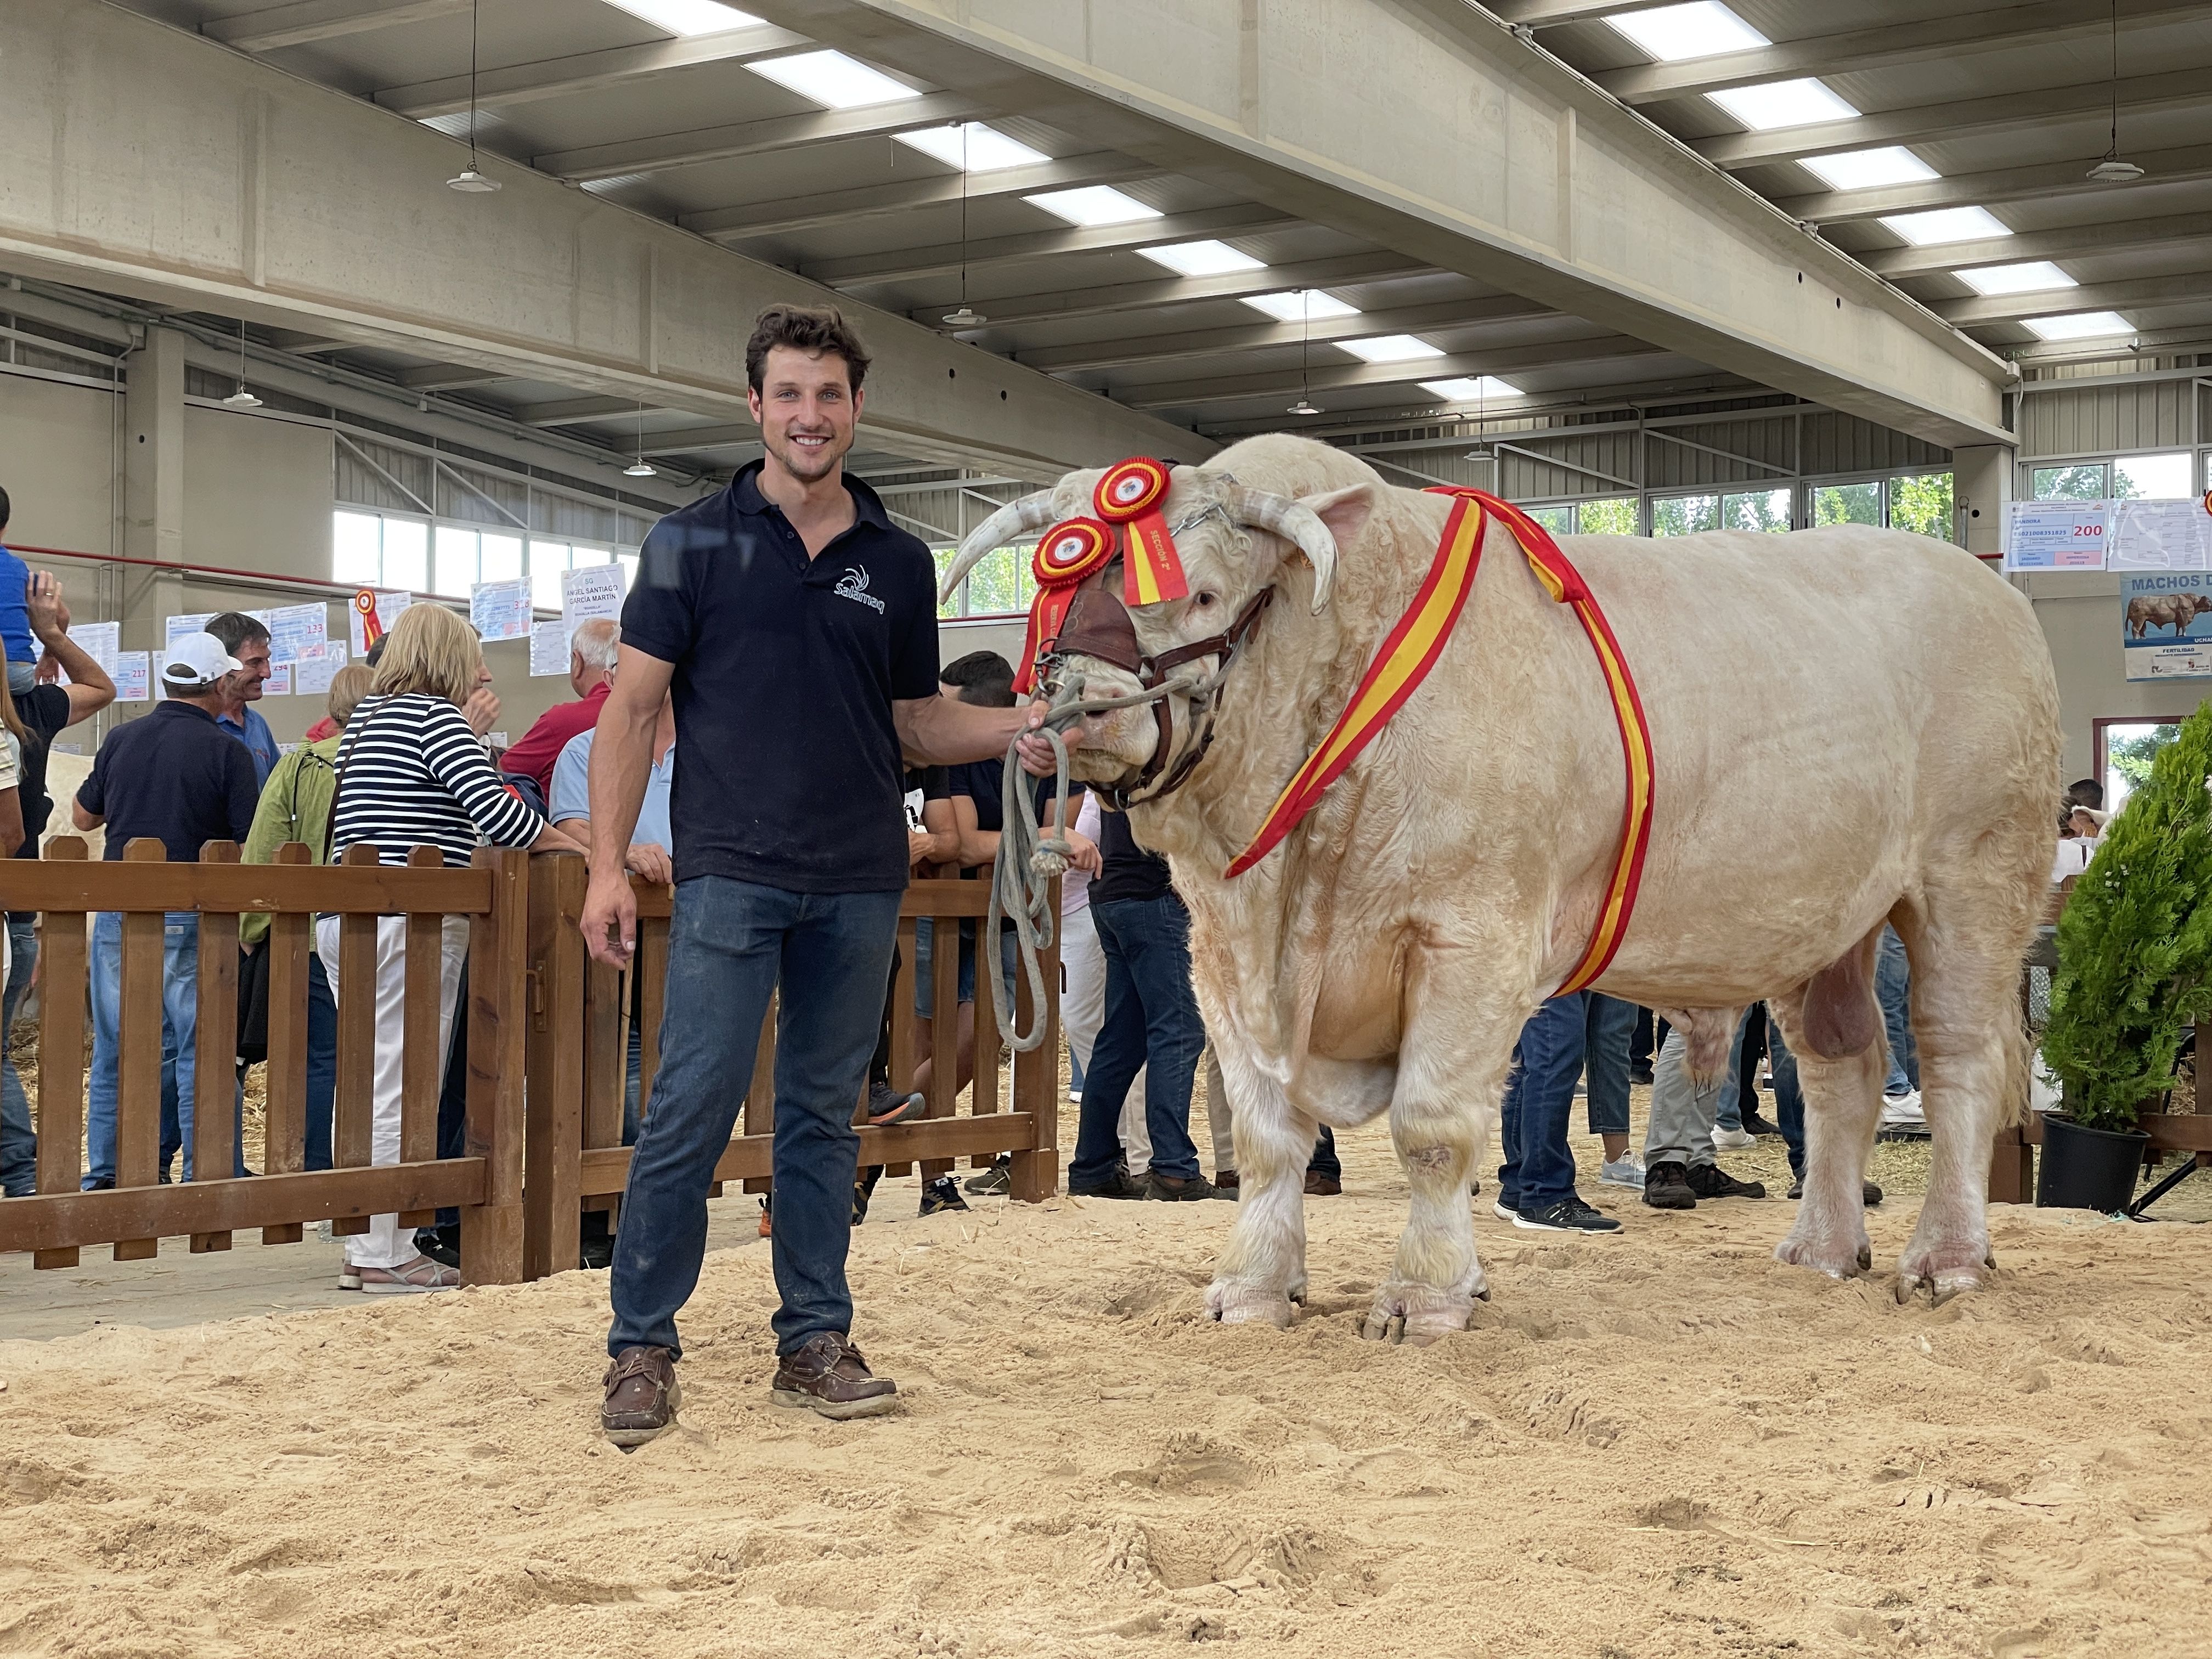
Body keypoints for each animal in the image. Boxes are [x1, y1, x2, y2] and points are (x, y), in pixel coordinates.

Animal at [946, 436, 2052, 1345]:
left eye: (1206, 595)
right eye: (1052, 587)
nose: (1079, 704)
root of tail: (1990, 589)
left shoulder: (1471, 935)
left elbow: (1433, 1129)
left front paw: (1428, 1296)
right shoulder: (1219, 947)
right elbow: (1265, 1136)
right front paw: (1253, 1287)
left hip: (1974, 874)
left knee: (1955, 1060)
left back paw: (1946, 1257)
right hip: (1821, 919)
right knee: (1839, 1066)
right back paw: (1821, 1247)